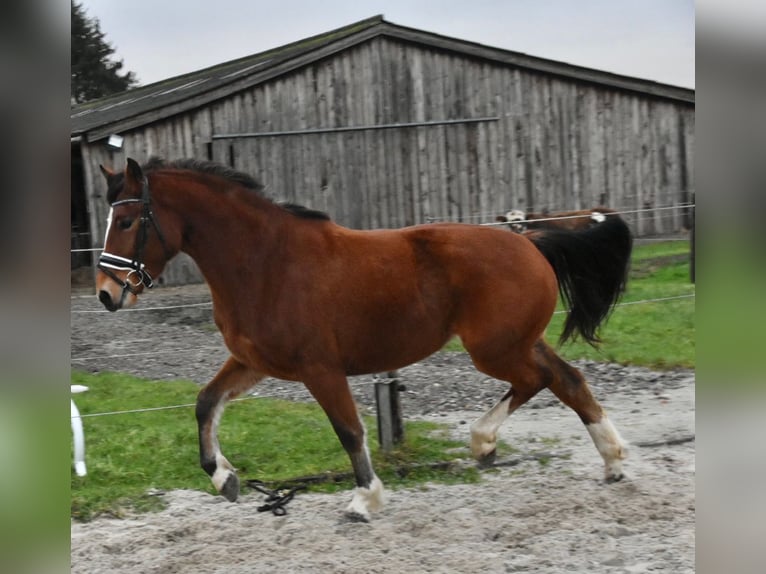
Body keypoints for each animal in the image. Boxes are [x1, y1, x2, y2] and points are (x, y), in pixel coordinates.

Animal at [97, 158, 636, 520]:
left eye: (126, 221)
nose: (106, 293)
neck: (265, 262)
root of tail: (530, 241)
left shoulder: (319, 369)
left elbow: (349, 430)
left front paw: (363, 499)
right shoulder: (252, 362)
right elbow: (206, 402)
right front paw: (224, 478)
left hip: (496, 348)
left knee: (542, 380)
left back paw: (495, 443)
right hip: (517, 341)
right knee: (567, 379)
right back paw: (605, 461)